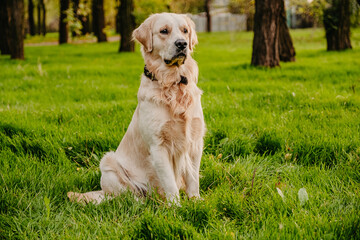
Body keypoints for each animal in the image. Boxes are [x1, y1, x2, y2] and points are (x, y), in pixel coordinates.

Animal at [66, 12, 204, 204]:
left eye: (185, 31)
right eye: (164, 31)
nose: (182, 44)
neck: (172, 82)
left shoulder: (195, 141)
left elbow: (193, 178)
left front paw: (196, 201)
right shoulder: (158, 146)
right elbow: (170, 183)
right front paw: (176, 206)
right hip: (108, 165)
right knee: (126, 197)